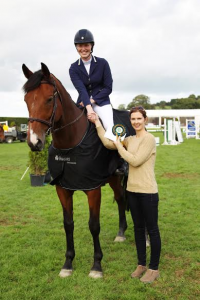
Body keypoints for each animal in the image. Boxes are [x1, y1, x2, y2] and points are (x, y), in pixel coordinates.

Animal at [21, 62, 128, 278]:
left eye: (49, 98)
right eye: (27, 100)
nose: (34, 143)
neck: (71, 144)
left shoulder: (93, 189)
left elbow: (93, 225)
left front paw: (96, 266)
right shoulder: (62, 189)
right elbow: (68, 224)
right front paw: (68, 263)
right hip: (113, 178)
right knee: (120, 198)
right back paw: (121, 233)